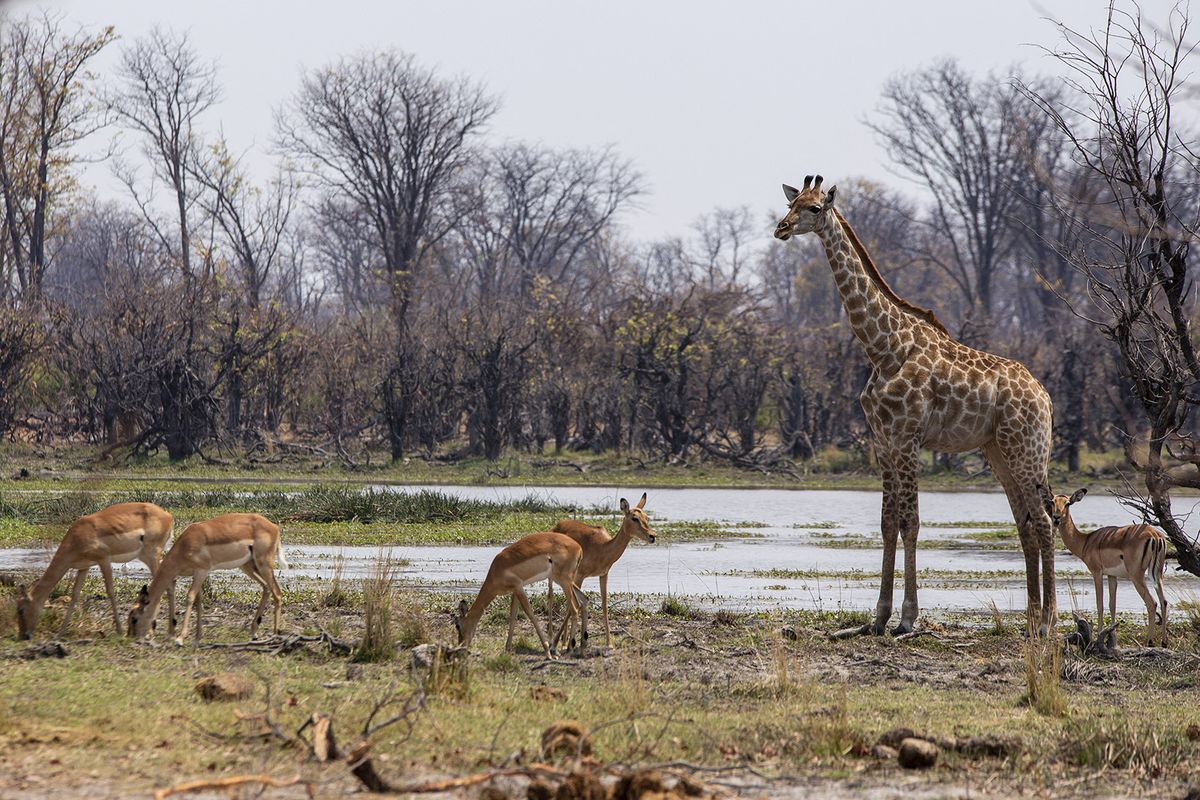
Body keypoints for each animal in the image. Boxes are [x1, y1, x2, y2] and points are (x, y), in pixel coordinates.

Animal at [772, 176, 1056, 638]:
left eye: (814, 208)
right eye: (790, 203)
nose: (780, 228)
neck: (883, 348)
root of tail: (1045, 397)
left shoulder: (907, 439)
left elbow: (912, 522)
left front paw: (907, 617)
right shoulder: (883, 442)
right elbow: (888, 523)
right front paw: (878, 616)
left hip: (1027, 449)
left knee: (1045, 521)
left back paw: (1049, 622)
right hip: (998, 450)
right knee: (1026, 522)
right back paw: (1031, 620)